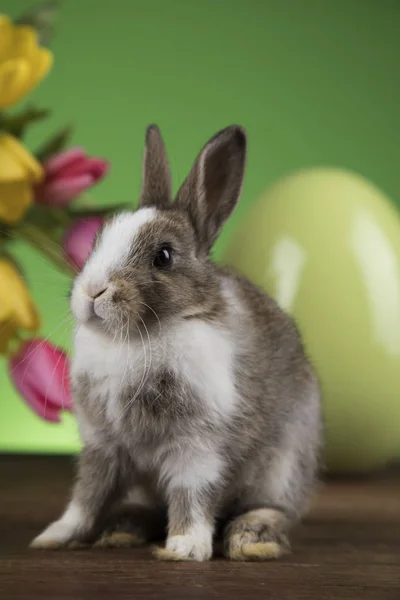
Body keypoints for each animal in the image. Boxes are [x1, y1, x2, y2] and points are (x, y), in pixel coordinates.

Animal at [29, 124, 322, 560]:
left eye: (163, 256)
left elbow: (191, 495)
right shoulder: (102, 445)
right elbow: (87, 496)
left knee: (271, 509)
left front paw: (185, 547)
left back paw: (252, 541)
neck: (136, 338)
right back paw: (121, 531)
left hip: (283, 467)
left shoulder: (197, 446)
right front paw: (55, 536)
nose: (93, 291)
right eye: (97, 240)